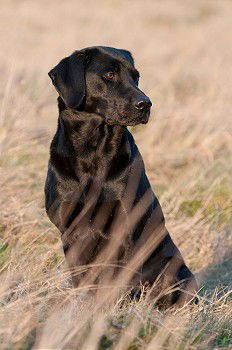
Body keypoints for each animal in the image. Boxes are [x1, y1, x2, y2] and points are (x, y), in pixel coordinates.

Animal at [44, 46, 197, 306]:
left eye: (136, 76)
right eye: (109, 75)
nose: (146, 104)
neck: (92, 152)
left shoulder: (124, 229)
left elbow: (118, 279)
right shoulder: (70, 231)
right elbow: (83, 279)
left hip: (174, 268)